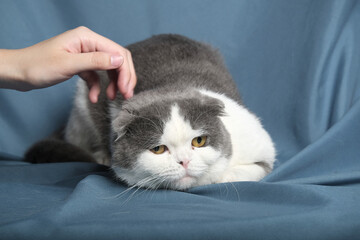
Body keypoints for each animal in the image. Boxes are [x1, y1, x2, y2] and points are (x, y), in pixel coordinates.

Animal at [26, 34, 276, 191]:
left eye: (199, 141)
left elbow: (241, 172)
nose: (184, 161)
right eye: (158, 149)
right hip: (84, 97)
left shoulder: (261, 148)